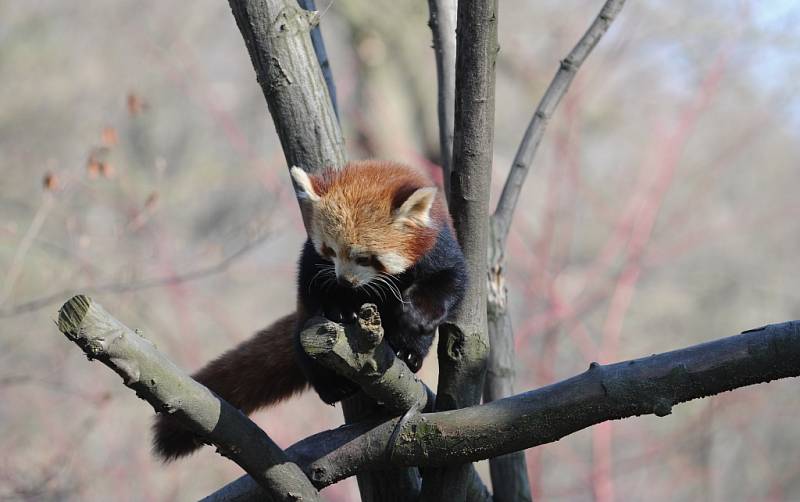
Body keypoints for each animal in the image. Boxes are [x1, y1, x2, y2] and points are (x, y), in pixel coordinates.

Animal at [152, 160, 468, 458]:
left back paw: (408, 352)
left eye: (365, 258)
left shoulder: (439, 246)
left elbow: (451, 281)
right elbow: (314, 286)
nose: (345, 280)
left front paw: (416, 315)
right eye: (331, 250)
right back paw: (331, 385)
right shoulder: (313, 262)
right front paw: (341, 308)